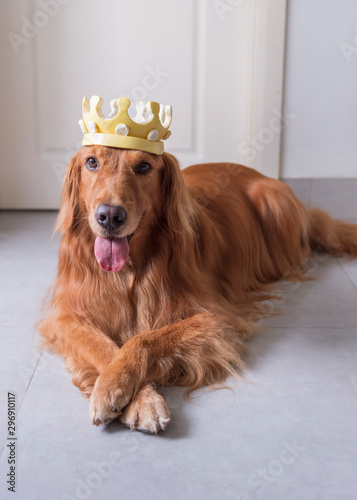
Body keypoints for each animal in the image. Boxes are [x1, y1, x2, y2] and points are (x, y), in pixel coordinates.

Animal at [37, 146, 356, 434]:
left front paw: (117, 387)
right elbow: (103, 347)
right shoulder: (68, 318)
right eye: (91, 162)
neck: (130, 270)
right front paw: (134, 397)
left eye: (144, 167)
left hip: (274, 205)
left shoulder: (215, 319)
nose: (110, 216)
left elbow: (142, 340)